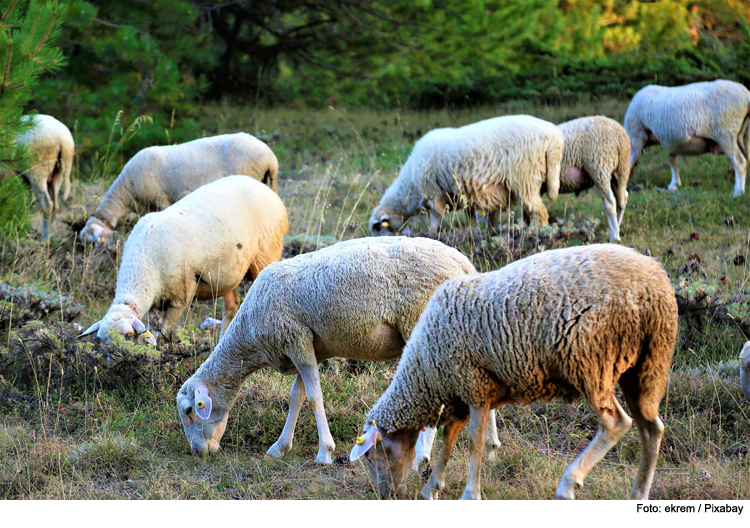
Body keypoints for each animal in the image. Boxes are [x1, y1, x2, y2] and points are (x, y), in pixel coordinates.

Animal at [80, 175, 288, 344]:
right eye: (101, 341)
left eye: (127, 335)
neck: (143, 262)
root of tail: (265, 189)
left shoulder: (179, 297)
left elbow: (163, 334)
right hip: (228, 273)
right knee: (232, 307)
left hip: (266, 254)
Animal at [172, 237, 500, 464]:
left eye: (189, 411)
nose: (198, 452)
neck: (250, 336)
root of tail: (465, 264)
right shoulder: (308, 346)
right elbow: (296, 396)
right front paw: (280, 447)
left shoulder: (295, 338)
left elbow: (314, 396)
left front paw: (324, 453)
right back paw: (490, 447)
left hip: (421, 322)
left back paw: (423, 457)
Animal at [350, 243, 680, 500]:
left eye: (372, 456)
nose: (386, 495)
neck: (425, 372)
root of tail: (653, 281)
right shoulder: (462, 393)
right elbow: (449, 440)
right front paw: (432, 487)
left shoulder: (473, 384)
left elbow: (474, 442)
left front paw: (470, 493)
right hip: (646, 366)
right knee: (651, 429)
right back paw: (638, 494)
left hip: (590, 360)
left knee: (616, 423)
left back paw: (568, 484)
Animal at [370, 115, 564, 235]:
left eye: (377, 228)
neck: (408, 187)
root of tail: (554, 138)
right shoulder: (466, 197)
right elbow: (473, 219)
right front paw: (479, 233)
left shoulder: (433, 195)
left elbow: (435, 220)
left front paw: (432, 234)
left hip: (524, 177)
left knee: (540, 211)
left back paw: (541, 231)